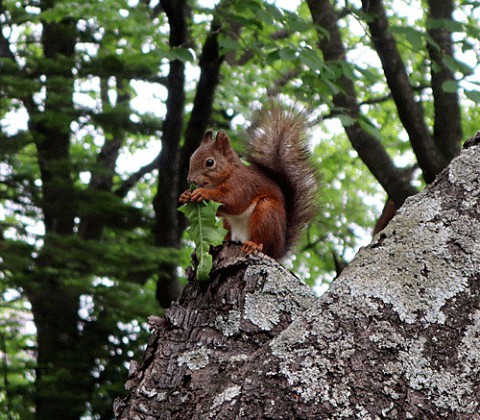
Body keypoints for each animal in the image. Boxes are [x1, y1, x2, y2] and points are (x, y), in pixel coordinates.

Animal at [178, 105, 316, 260]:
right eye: (191, 158)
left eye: (210, 162)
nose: (191, 180)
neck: (226, 175)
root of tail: (279, 251)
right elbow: (220, 211)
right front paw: (185, 195)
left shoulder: (243, 185)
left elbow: (234, 201)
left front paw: (202, 193)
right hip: (229, 225)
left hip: (266, 214)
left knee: (263, 243)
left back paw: (253, 245)